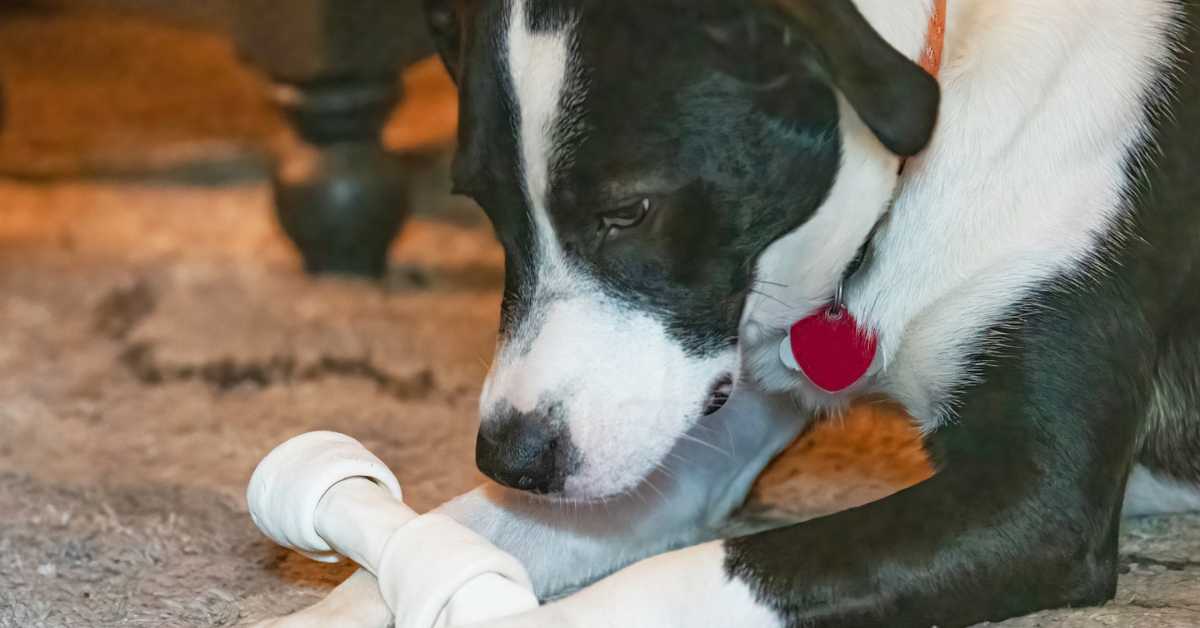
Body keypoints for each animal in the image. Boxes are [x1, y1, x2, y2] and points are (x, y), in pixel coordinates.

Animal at [267, 0, 1200, 624]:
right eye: (483, 207)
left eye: (628, 210)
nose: (512, 457)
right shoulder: (690, 417)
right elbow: (464, 529)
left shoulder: (1034, 502)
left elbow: (685, 576)